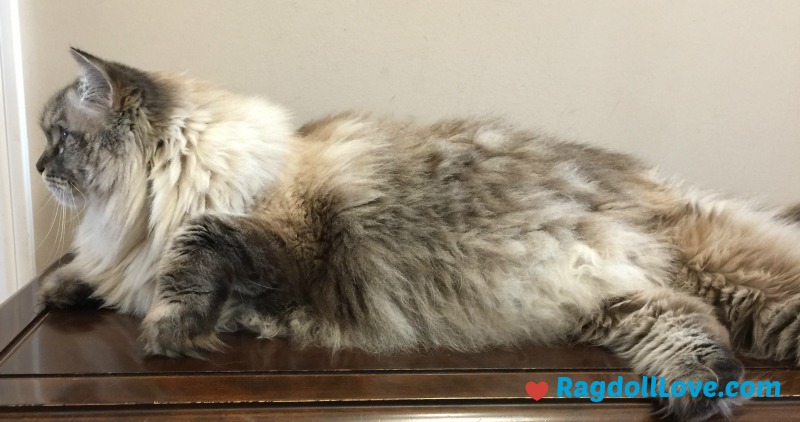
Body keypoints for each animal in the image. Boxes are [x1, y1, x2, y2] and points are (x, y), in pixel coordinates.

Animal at [34, 47, 800, 420]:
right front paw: (63, 287)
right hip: (629, 303)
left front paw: (169, 331)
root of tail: (659, 185)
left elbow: (193, 252)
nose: (37, 168)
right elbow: (101, 275)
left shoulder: (278, 241)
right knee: (701, 336)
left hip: (736, 287)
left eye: (58, 137)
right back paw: (701, 396)